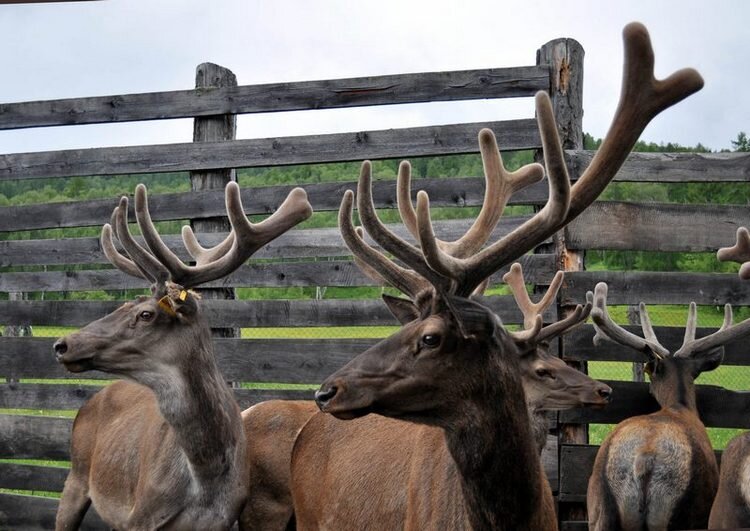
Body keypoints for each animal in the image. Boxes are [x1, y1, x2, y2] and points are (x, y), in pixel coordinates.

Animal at [52, 181, 312, 528]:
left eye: (146, 314)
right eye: (124, 305)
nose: (62, 344)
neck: (205, 476)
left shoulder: (221, 519)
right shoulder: (140, 516)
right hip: (76, 476)